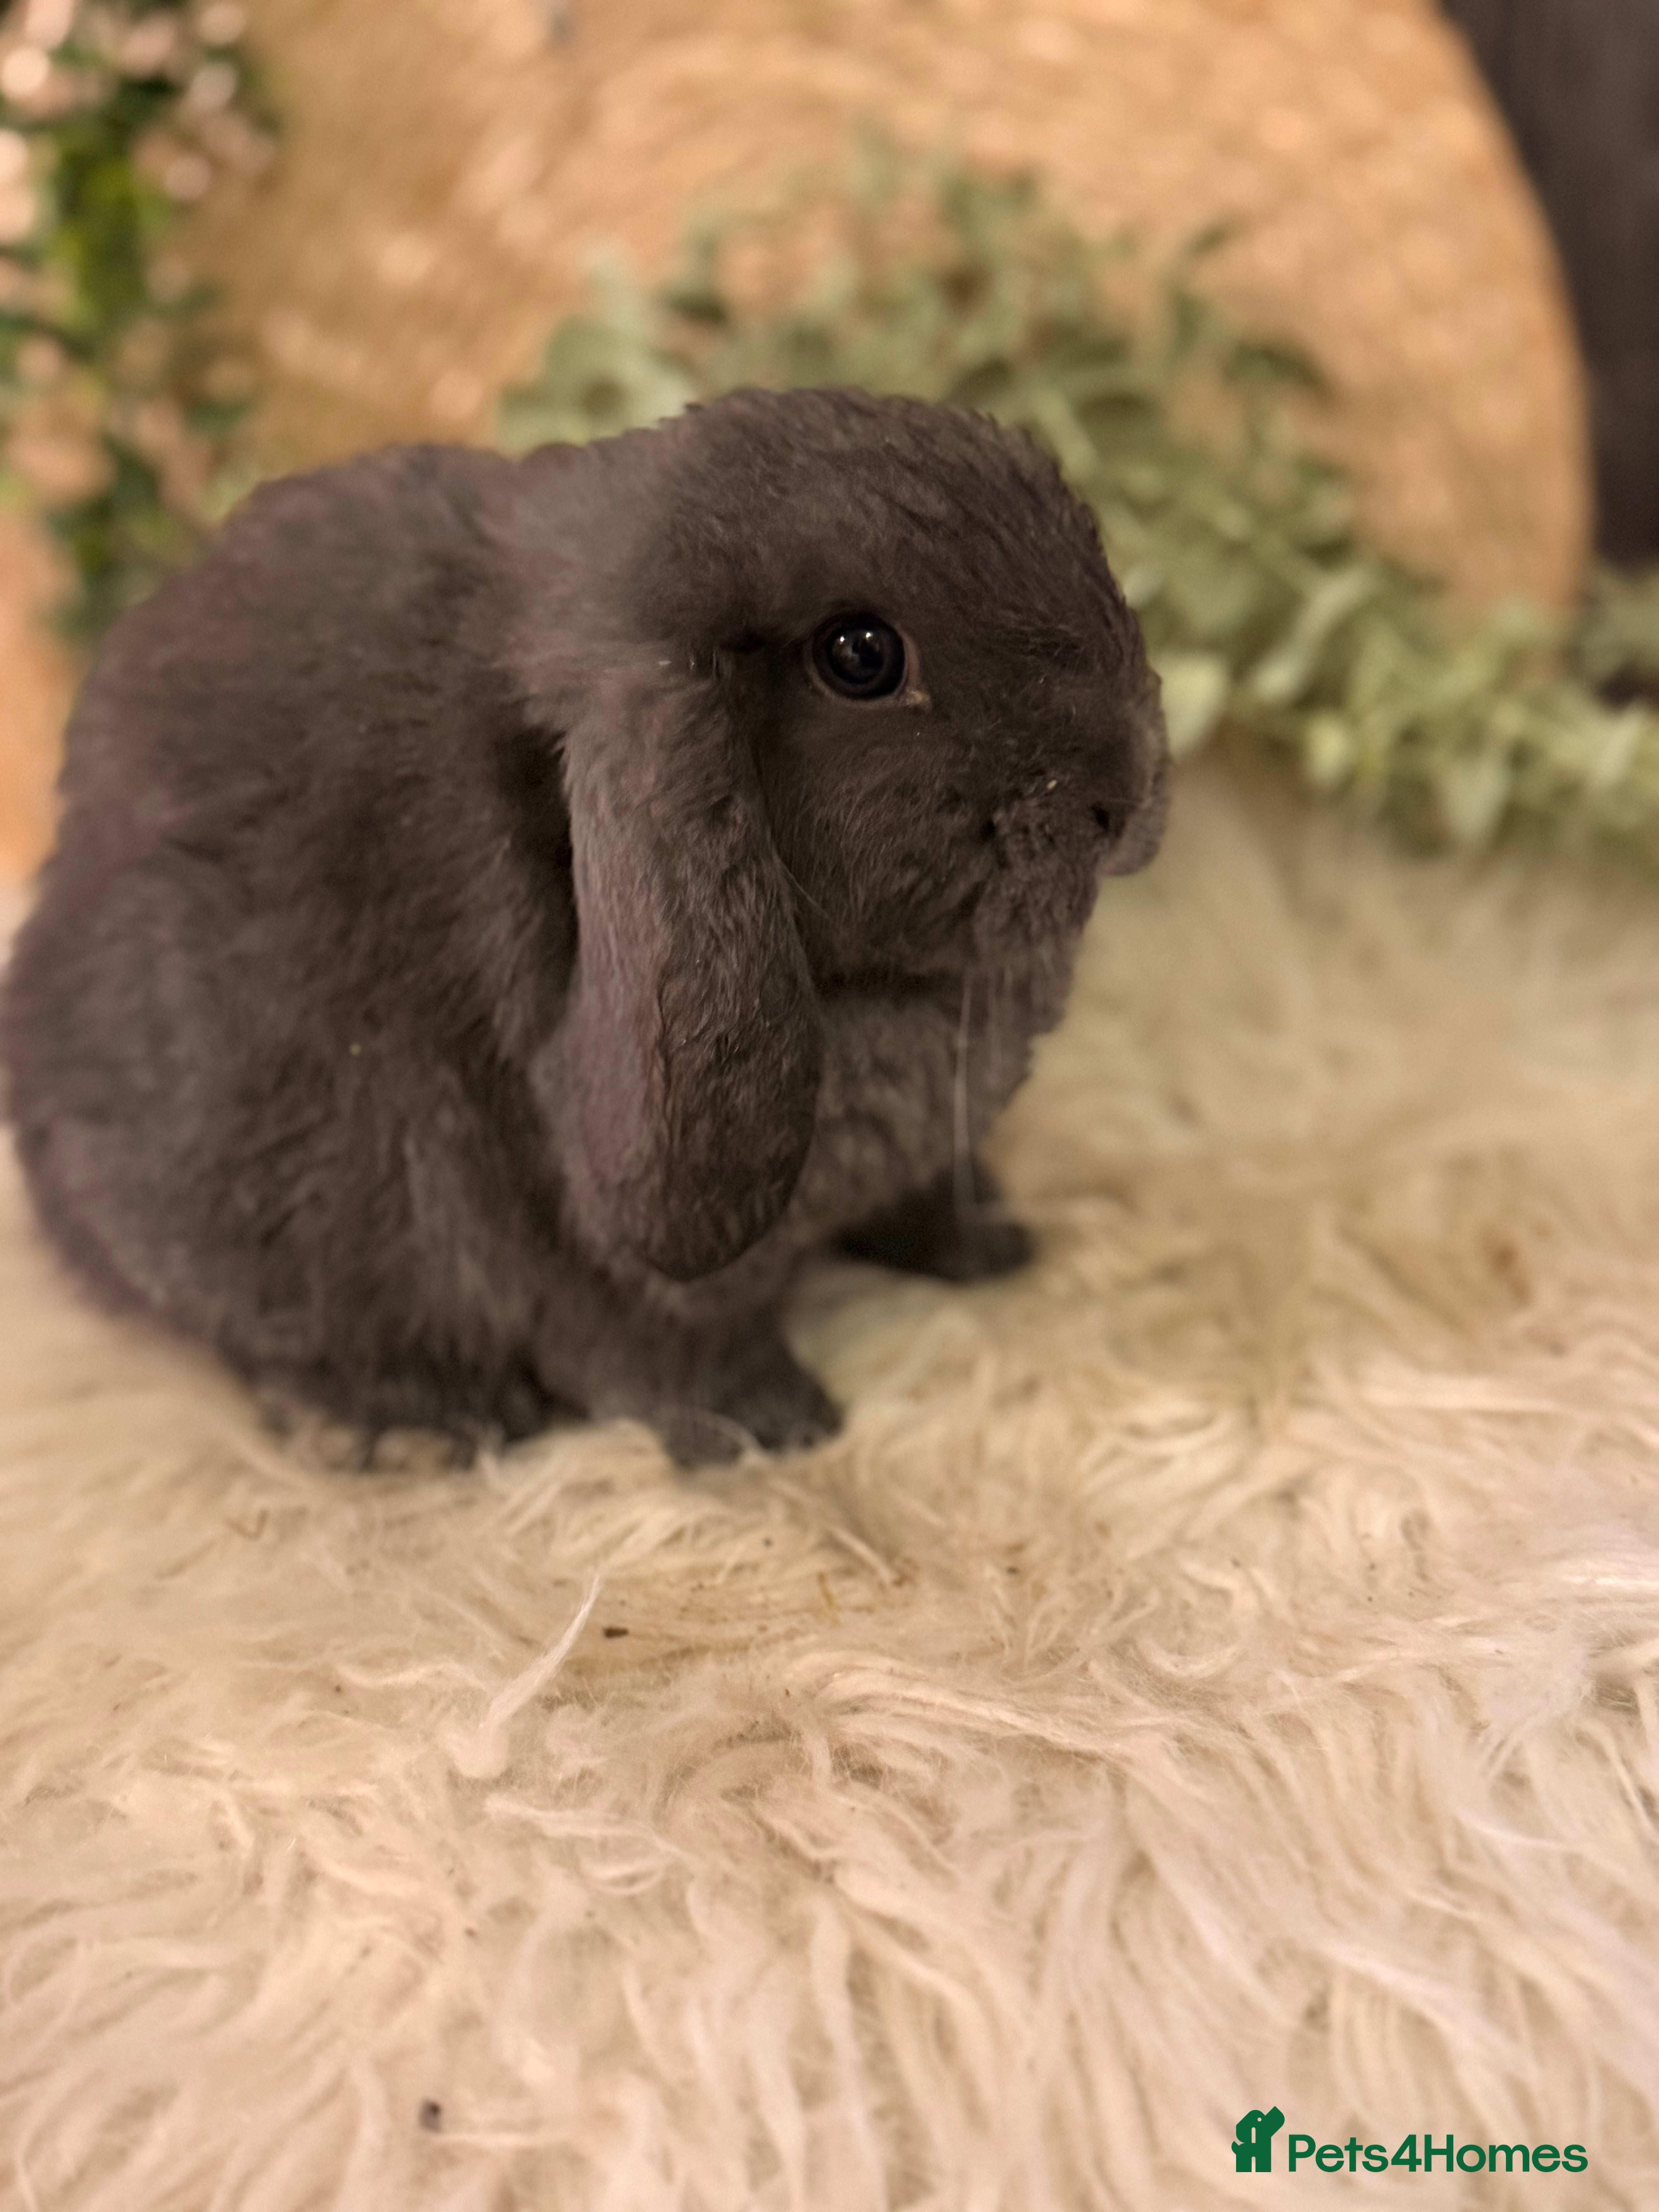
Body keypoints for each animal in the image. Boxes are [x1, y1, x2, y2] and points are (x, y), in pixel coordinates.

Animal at [2, 386, 1168, 1465]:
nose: (1127, 794)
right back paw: (418, 1421)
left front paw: (990, 1245)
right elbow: (654, 1341)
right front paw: (770, 1427)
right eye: (860, 656)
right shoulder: (576, 1233)